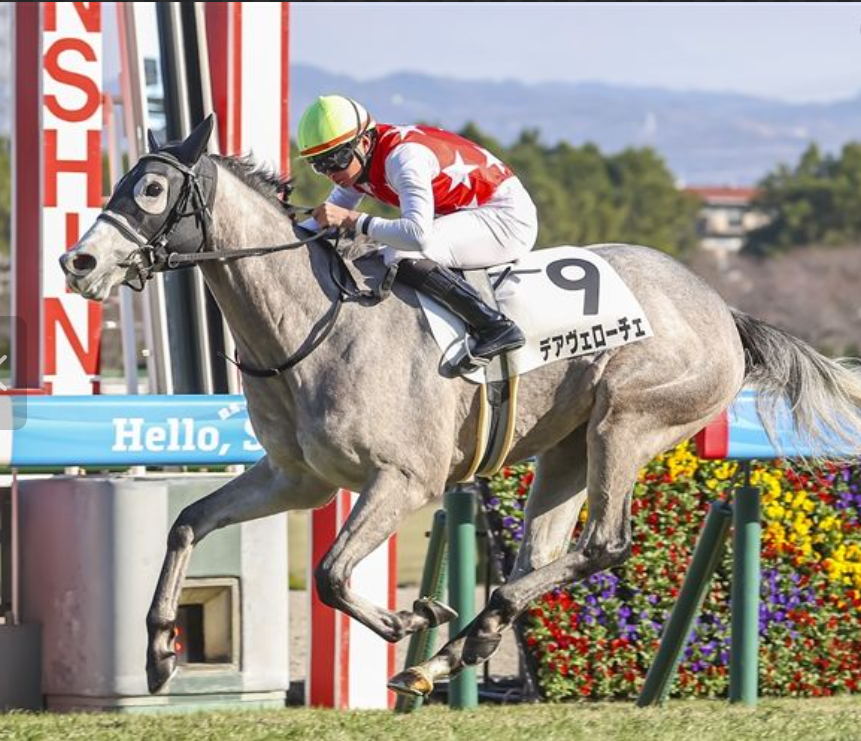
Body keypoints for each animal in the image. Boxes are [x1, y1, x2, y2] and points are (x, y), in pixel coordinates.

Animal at [61, 116, 861, 697]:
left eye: (152, 188)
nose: (78, 262)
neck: (313, 325)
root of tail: (722, 309)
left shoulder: (402, 480)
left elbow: (330, 573)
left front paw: (407, 614)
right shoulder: (297, 478)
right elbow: (187, 523)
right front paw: (160, 650)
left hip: (627, 422)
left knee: (604, 543)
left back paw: (455, 639)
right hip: (566, 449)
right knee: (543, 552)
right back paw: (457, 648)